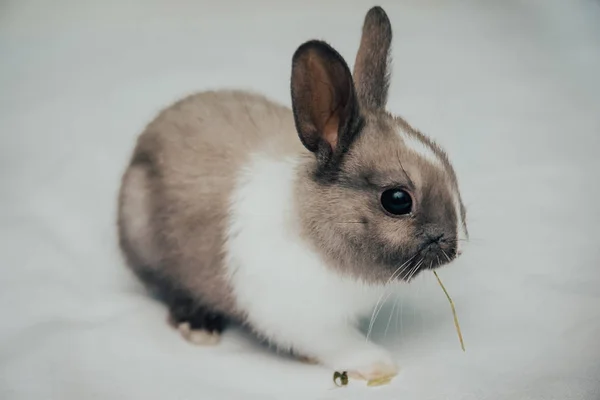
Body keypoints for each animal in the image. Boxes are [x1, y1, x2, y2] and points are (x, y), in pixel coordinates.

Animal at [117, 5, 468, 382]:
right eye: (398, 200)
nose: (454, 248)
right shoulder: (306, 322)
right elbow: (339, 344)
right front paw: (378, 365)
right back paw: (198, 326)